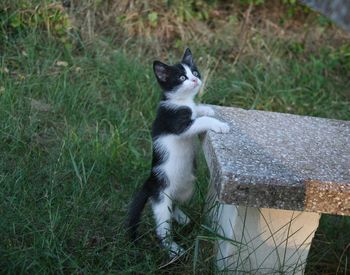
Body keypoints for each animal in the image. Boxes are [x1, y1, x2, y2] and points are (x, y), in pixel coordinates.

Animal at [128, 48, 230, 258]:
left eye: (195, 72)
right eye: (182, 77)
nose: (195, 80)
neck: (180, 101)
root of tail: (150, 183)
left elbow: (197, 111)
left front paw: (206, 108)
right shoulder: (177, 122)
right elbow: (199, 121)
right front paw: (219, 125)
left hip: (187, 188)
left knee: (175, 204)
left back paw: (182, 217)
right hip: (161, 199)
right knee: (163, 227)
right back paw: (173, 249)